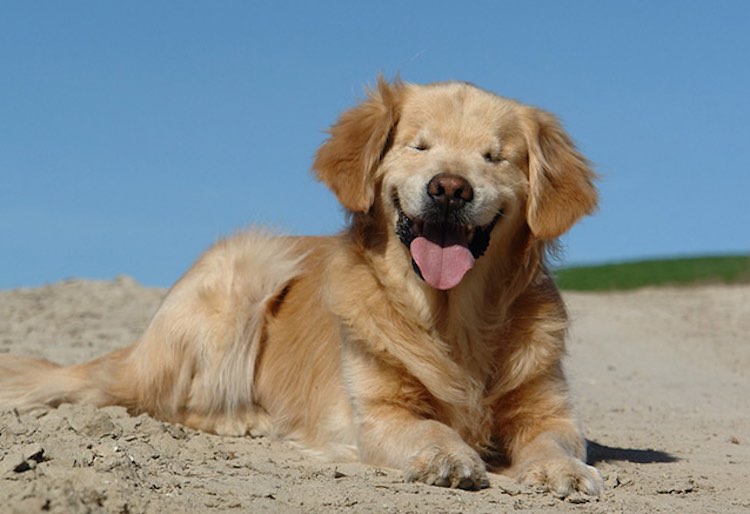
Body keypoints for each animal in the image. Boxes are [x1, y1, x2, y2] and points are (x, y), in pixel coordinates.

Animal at [0, 78, 604, 494]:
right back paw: (245, 418)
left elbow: (555, 438)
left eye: (494, 157)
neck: (455, 321)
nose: (449, 189)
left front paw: (564, 469)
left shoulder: (548, 408)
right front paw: (449, 456)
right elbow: (427, 430)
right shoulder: (378, 410)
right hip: (250, 269)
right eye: (419, 147)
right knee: (163, 401)